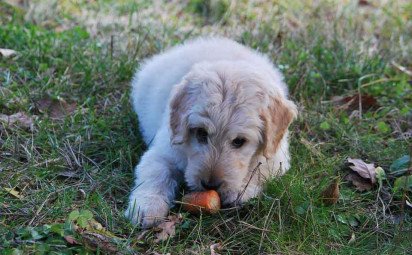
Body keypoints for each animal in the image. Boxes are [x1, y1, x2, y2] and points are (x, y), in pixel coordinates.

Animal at [124, 37, 296, 227]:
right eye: (201, 133)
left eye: (239, 141)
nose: (210, 185)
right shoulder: (164, 150)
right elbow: (156, 173)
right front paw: (147, 206)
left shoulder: (277, 156)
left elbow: (260, 169)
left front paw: (240, 190)